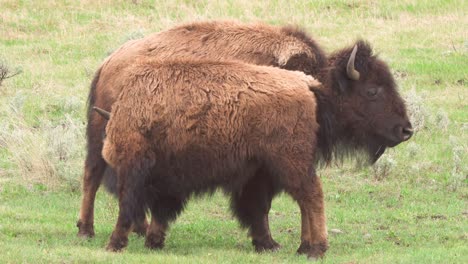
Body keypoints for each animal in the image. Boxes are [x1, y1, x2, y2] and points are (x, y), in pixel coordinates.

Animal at [95, 40, 414, 258]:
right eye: (373, 91)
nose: (406, 129)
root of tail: (304, 84)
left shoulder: (137, 169)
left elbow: (128, 206)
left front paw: (115, 243)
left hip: (290, 162)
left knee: (311, 195)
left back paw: (315, 248)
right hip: (290, 163)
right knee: (307, 197)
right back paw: (303, 247)